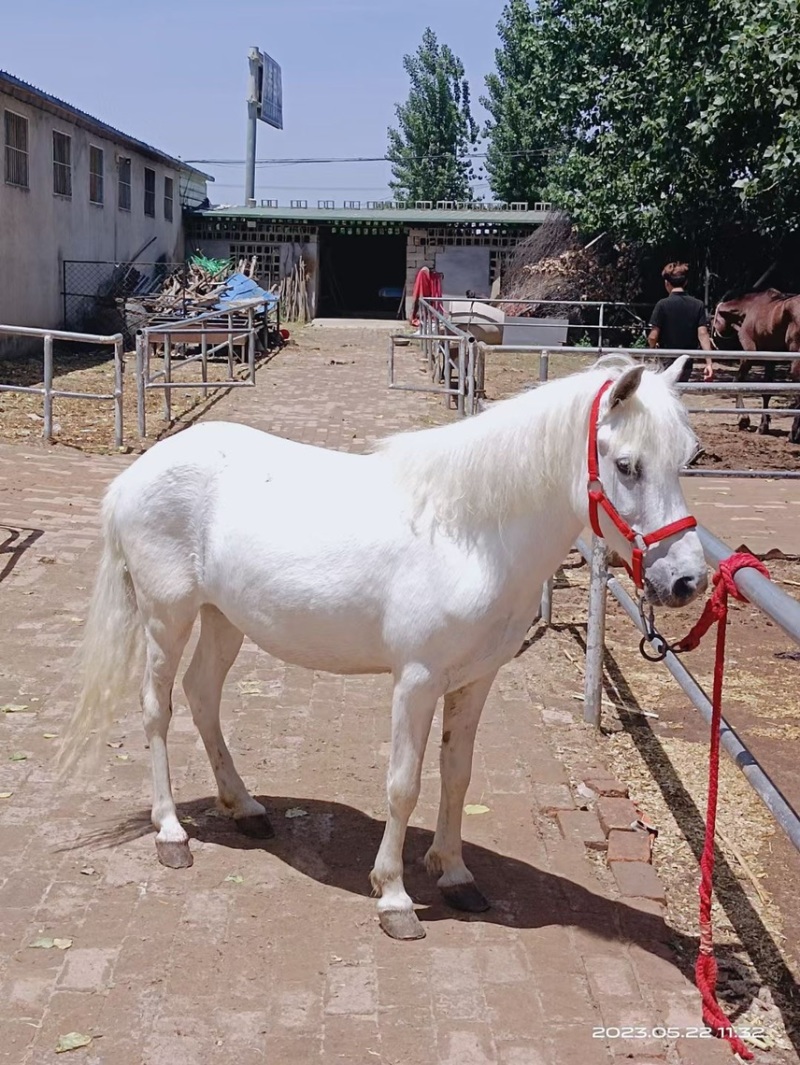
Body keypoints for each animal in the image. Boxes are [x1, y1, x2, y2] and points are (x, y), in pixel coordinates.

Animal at [59, 355, 707, 941]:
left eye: (686, 460)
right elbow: (404, 784)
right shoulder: (416, 682)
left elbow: (457, 775)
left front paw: (455, 875)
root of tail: (137, 473)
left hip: (224, 619)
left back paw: (244, 809)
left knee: (202, 697)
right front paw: (393, 897)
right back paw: (171, 832)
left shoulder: (476, 679)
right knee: (157, 709)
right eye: (626, 466)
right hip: (167, 617)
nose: (686, 582)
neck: (469, 535)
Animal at [711, 289, 800, 443]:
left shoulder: (750, 353)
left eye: (715, 320)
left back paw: (793, 434)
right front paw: (763, 425)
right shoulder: (770, 358)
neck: (749, 307)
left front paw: (743, 419)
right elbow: (766, 391)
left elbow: (738, 381)